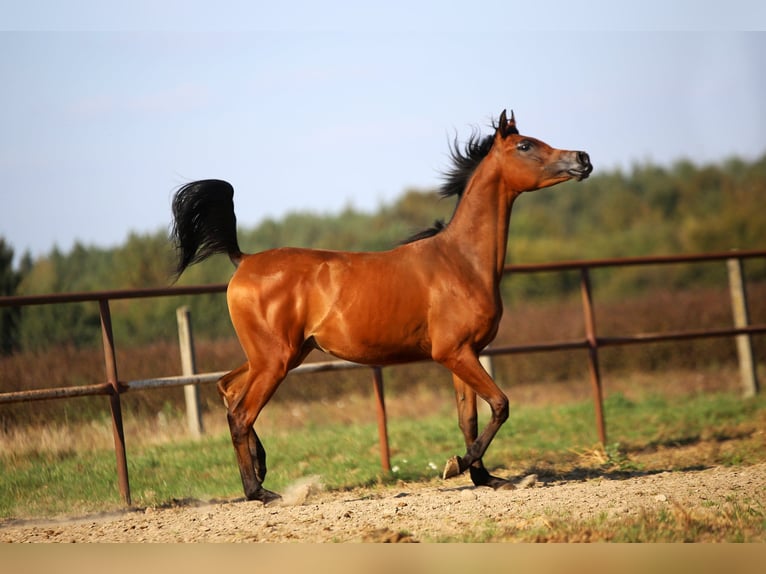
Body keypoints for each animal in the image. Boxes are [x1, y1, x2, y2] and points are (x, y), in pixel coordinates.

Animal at [172, 111, 592, 504]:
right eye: (525, 145)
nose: (583, 158)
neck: (462, 262)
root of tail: (243, 261)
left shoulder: (464, 354)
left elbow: (469, 419)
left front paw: (486, 478)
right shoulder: (454, 353)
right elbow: (501, 405)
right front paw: (457, 466)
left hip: (279, 355)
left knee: (228, 390)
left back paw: (260, 469)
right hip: (275, 359)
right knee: (242, 412)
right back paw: (259, 491)